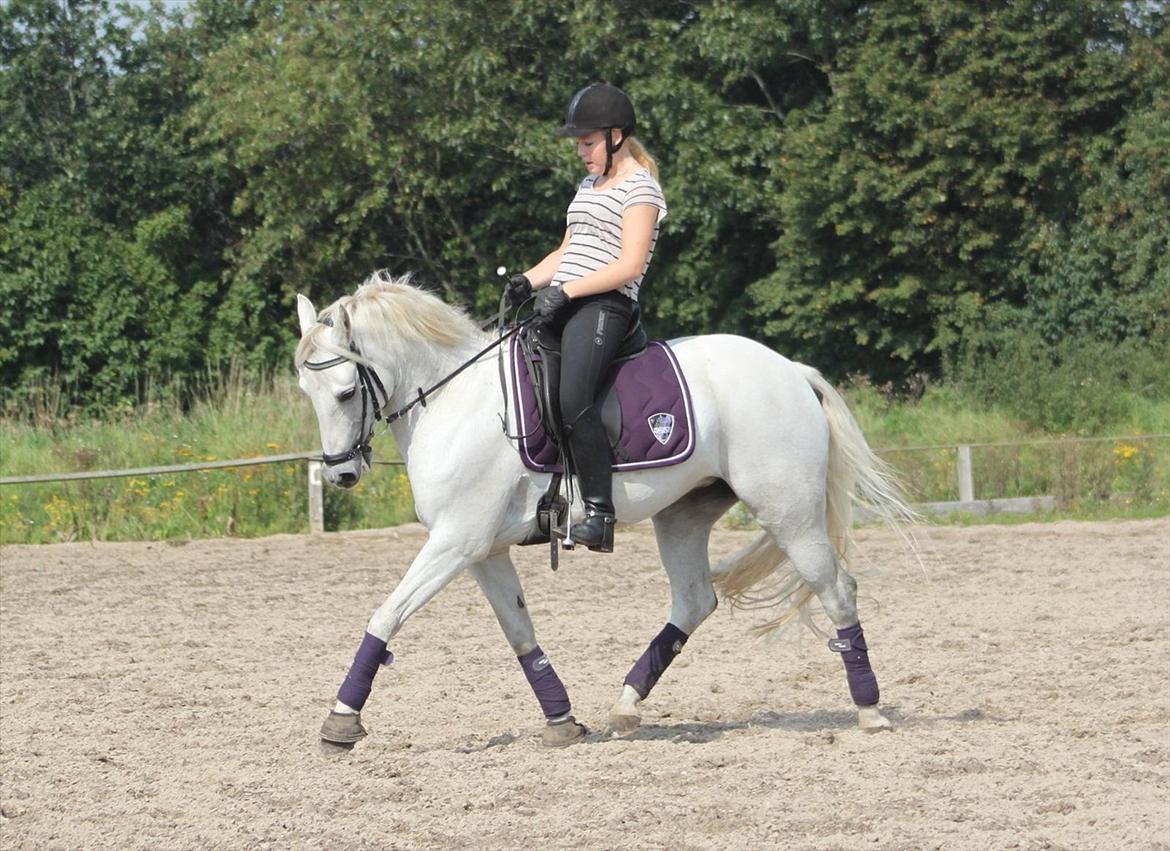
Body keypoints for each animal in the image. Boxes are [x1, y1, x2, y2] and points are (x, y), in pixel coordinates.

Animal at [294, 271, 917, 750]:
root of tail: (791, 370)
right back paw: (625, 706)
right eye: (307, 392)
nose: (341, 473)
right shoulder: (482, 550)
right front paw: (561, 720)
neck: (454, 402)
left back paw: (870, 711)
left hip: (789, 512)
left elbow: (385, 615)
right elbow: (519, 631)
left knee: (837, 589)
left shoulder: (456, 542)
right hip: (682, 515)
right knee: (695, 601)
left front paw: (341, 721)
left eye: (346, 393)